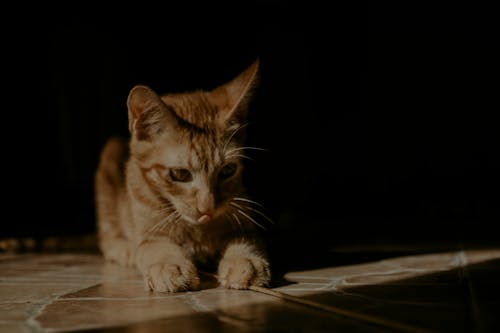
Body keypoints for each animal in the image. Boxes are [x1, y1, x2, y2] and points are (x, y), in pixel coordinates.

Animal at [95, 59, 272, 290]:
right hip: (110, 157)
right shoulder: (151, 235)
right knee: (107, 236)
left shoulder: (242, 223)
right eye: (180, 174)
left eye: (228, 170)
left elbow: (246, 239)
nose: (207, 209)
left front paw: (245, 260)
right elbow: (157, 247)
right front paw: (169, 265)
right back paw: (124, 249)